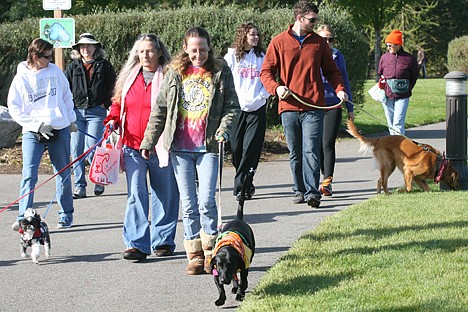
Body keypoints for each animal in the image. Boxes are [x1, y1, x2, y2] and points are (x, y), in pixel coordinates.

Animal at [211, 168, 256, 304]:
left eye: (230, 265)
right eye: (219, 265)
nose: (224, 280)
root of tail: (238, 219)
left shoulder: (243, 265)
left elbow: (243, 279)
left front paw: (240, 294)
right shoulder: (216, 273)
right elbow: (220, 288)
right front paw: (221, 299)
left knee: (239, 277)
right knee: (235, 278)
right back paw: (234, 286)